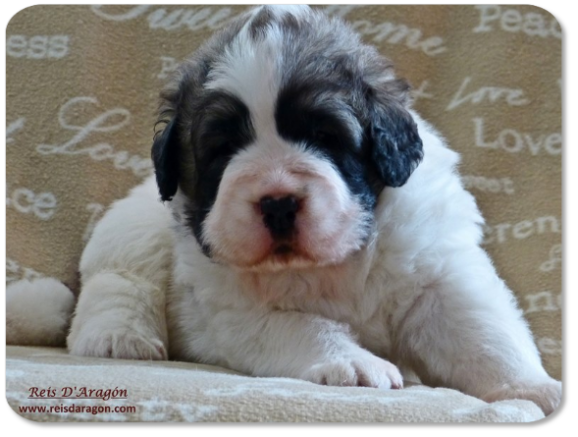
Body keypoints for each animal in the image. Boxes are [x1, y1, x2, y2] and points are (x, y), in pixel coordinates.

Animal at [65, 5, 560, 414]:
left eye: (325, 136)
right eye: (223, 148)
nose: (278, 202)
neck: (333, 263)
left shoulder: (436, 276)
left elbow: (483, 335)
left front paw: (534, 388)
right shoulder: (234, 307)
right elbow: (302, 327)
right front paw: (356, 364)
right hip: (133, 233)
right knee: (121, 282)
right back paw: (119, 338)